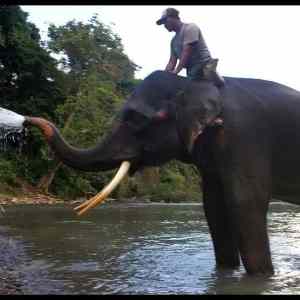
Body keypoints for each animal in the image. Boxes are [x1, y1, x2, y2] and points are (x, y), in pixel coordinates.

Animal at [23, 61, 300, 276]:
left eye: (135, 119)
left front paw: (261, 278)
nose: (27, 120)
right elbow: (213, 206)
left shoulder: (244, 136)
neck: (190, 83)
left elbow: (245, 201)